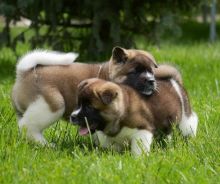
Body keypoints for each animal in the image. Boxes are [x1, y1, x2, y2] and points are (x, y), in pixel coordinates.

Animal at [11, 47, 181, 145]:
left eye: (151, 71)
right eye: (135, 72)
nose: (152, 81)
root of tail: (23, 73)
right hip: (52, 105)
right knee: (27, 126)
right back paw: (46, 145)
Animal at [71, 78, 199, 156]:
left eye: (89, 107)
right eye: (78, 104)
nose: (72, 117)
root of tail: (173, 82)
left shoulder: (142, 131)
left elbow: (138, 149)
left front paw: (137, 159)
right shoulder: (109, 139)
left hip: (185, 119)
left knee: (191, 122)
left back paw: (190, 140)